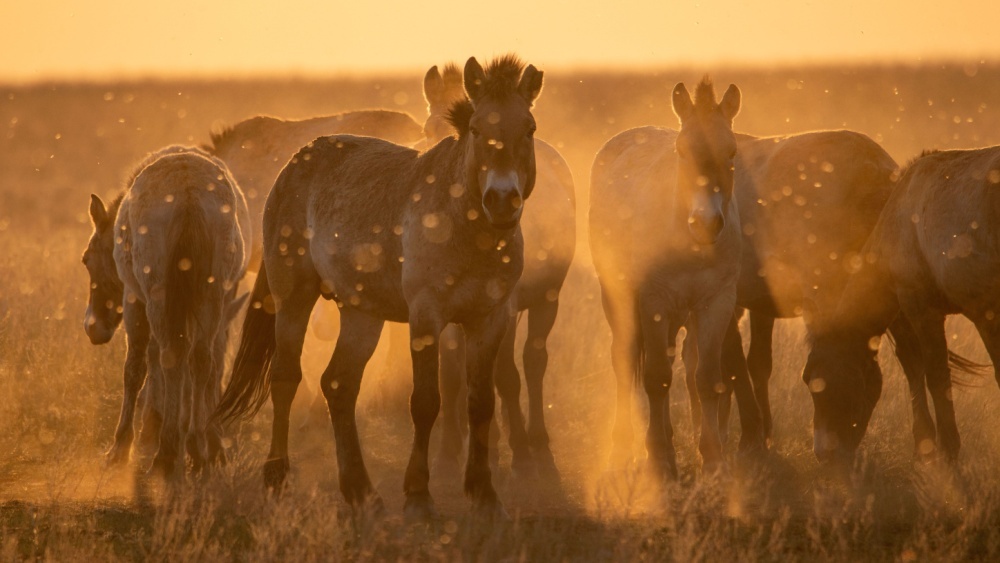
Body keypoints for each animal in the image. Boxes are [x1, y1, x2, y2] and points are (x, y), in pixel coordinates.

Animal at [83, 146, 251, 478]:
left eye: (86, 259)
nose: (93, 327)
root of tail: (190, 199)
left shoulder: (134, 297)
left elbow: (135, 367)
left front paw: (121, 447)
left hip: (159, 294)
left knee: (173, 355)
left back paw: (168, 452)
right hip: (210, 294)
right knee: (201, 359)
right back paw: (198, 448)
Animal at [215, 55, 545, 519]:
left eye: (529, 129)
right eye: (477, 129)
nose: (502, 201)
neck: (465, 227)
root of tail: (297, 160)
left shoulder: (490, 318)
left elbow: (481, 401)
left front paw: (484, 493)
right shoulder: (425, 317)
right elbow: (425, 401)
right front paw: (418, 495)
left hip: (362, 313)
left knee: (339, 385)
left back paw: (360, 490)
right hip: (293, 296)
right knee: (285, 377)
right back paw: (277, 477)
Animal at [590, 78, 764, 478]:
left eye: (731, 152)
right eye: (682, 151)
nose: (706, 223)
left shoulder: (717, 303)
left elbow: (707, 377)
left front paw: (713, 458)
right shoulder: (654, 300)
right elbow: (656, 377)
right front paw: (660, 458)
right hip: (619, 300)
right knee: (626, 360)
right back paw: (623, 446)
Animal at [803, 146, 1000, 465]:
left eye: (823, 384)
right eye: (806, 377)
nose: (824, 454)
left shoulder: (923, 308)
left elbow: (935, 376)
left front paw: (946, 451)